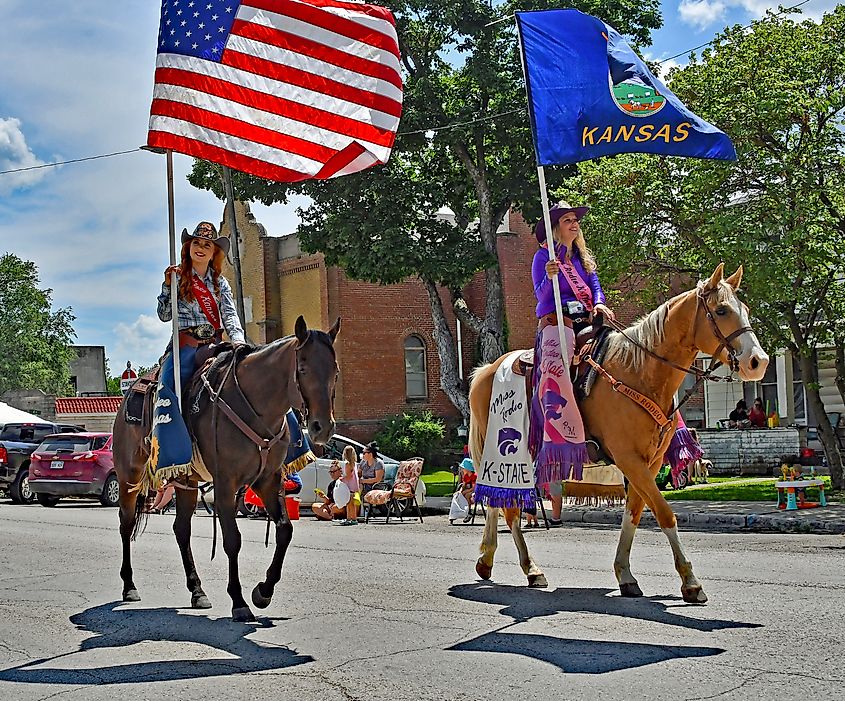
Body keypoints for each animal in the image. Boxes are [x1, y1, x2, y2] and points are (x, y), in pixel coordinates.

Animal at [113, 316, 342, 616]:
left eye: (335, 371)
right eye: (302, 368)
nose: (322, 428)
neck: (256, 404)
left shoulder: (268, 480)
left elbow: (284, 530)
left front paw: (263, 591)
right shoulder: (225, 483)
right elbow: (233, 540)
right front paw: (239, 601)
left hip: (186, 481)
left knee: (181, 529)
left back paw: (197, 591)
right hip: (129, 476)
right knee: (126, 524)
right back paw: (129, 586)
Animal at [472, 262, 768, 600]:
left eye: (745, 309)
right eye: (721, 310)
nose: (758, 362)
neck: (640, 372)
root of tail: (488, 368)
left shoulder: (649, 463)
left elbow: (635, 514)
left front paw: (625, 574)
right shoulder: (629, 459)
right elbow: (665, 513)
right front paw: (690, 582)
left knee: (496, 502)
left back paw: (488, 561)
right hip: (506, 453)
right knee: (507, 508)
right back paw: (530, 569)